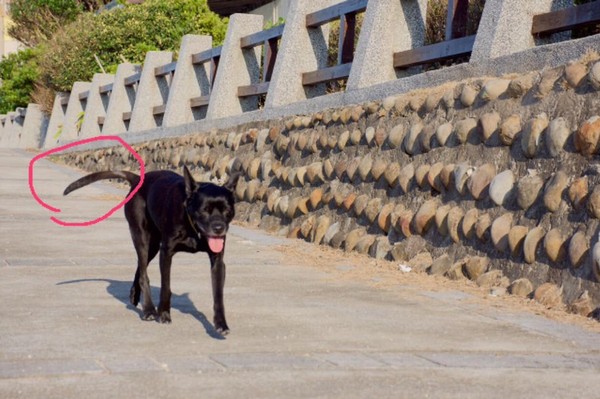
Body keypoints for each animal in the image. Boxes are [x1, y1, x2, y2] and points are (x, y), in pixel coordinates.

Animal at [64, 164, 240, 336]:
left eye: (227, 210)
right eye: (204, 210)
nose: (219, 228)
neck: (192, 226)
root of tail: (137, 179)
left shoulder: (217, 260)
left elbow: (218, 295)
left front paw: (221, 324)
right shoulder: (166, 253)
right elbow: (166, 287)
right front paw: (164, 314)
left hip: (153, 245)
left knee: (140, 267)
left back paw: (135, 295)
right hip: (141, 237)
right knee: (143, 272)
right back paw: (148, 309)